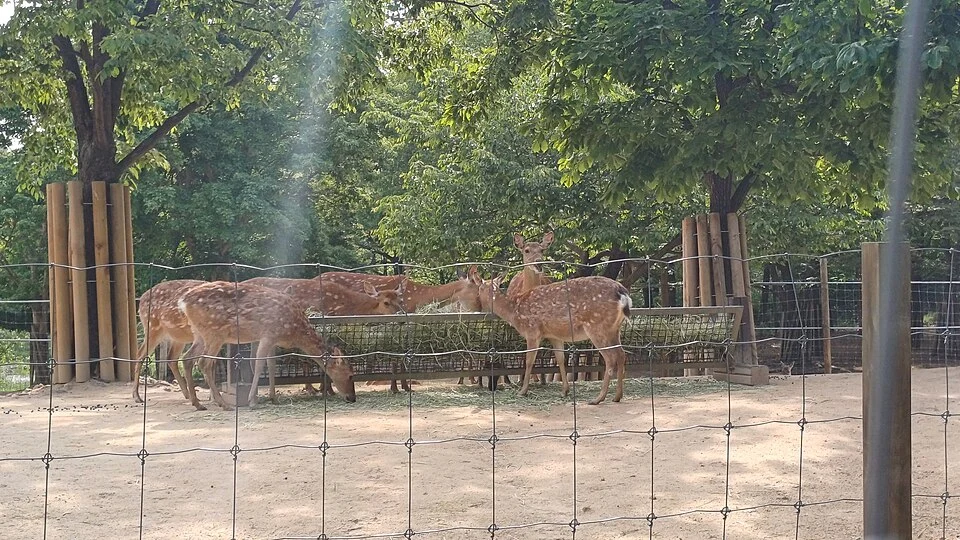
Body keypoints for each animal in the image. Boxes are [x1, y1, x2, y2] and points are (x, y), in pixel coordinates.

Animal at [177, 281, 356, 410]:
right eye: (350, 375)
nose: (352, 398)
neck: (294, 330)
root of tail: (183, 301)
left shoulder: (271, 339)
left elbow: (270, 364)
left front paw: (273, 397)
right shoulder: (268, 335)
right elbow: (258, 365)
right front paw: (252, 400)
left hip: (199, 333)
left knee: (187, 358)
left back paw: (198, 404)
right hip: (214, 333)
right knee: (203, 362)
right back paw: (223, 404)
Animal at [469, 267, 632, 405]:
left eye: (479, 289)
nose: (478, 305)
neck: (514, 312)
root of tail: (623, 294)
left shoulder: (532, 331)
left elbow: (529, 361)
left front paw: (523, 391)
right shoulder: (554, 335)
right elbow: (560, 359)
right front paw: (565, 391)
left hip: (597, 327)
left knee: (610, 357)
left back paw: (598, 398)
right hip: (614, 328)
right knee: (621, 354)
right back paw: (617, 396)